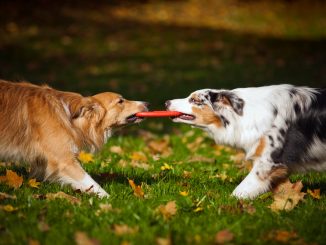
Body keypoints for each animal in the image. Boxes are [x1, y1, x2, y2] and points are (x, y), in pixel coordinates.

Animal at [0, 80, 148, 197]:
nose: (147, 103)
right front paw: (108, 199)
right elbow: (89, 181)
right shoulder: (63, 160)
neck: (72, 118)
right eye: (120, 101)